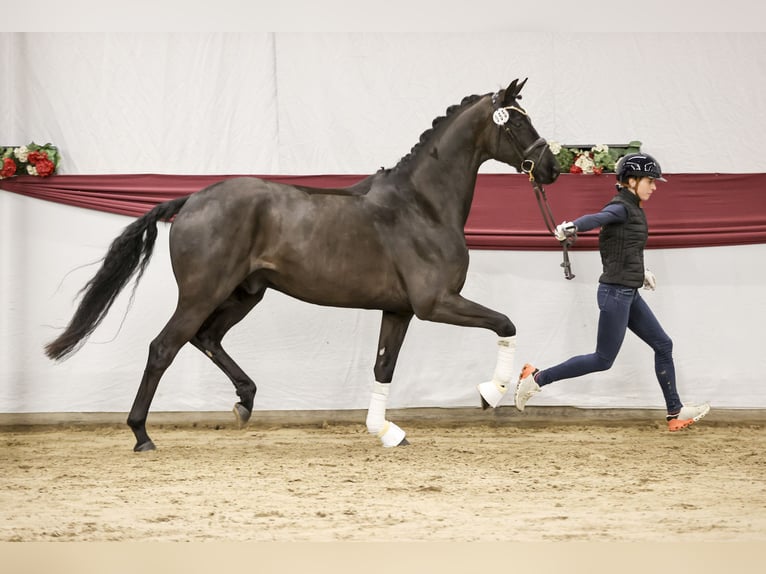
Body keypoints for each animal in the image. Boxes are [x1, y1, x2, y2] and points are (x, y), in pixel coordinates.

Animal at [45, 78, 560, 451]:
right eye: (517, 124)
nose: (552, 168)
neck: (422, 206)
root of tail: (191, 200)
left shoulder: (399, 310)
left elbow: (383, 368)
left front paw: (386, 431)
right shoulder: (436, 303)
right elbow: (505, 324)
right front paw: (491, 393)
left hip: (245, 294)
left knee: (206, 338)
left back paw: (244, 402)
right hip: (203, 293)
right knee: (163, 347)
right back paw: (142, 435)